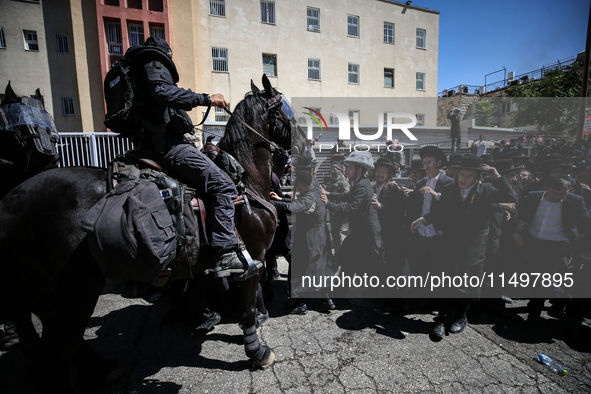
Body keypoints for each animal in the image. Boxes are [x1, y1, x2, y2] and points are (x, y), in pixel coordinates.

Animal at [0, 75, 306, 392]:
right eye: (283, 110)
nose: (305, 140)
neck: (246, 180)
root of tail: (6, 204)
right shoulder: (252, 260)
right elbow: (246, 307)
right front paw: (256, 350)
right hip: (71, 290)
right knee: (58, 352)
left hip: (48, 293)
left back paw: (103, 367)